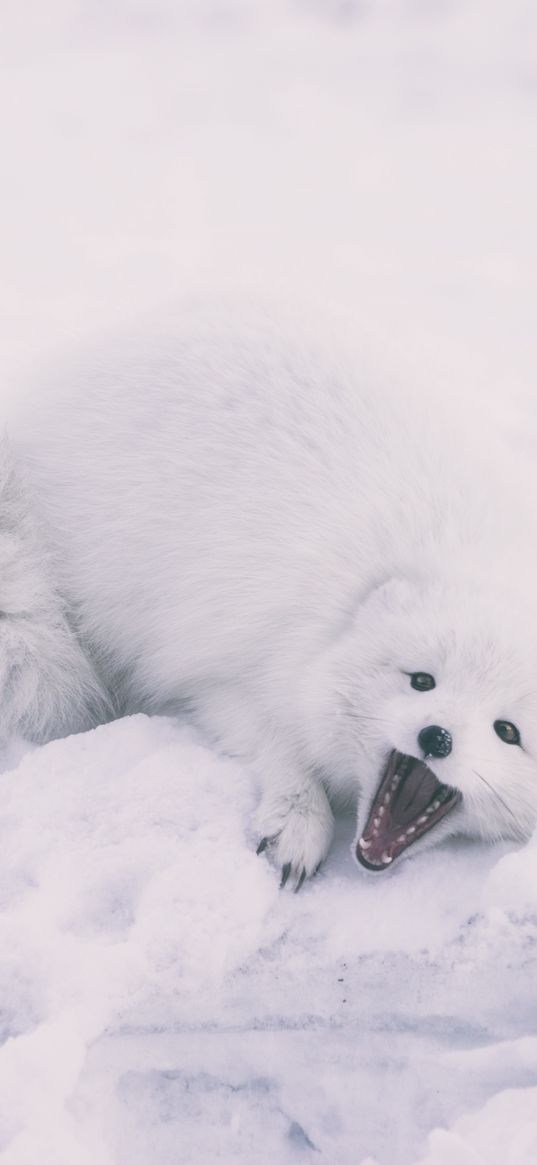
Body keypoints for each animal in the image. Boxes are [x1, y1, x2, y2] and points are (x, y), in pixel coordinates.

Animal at [4, 305, 535, 885]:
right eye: (421, 681)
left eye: (507, 732)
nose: (436, 737)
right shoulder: (224, 669)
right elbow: (277, 742)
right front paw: (299, 821)